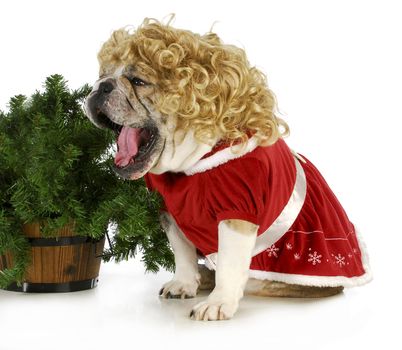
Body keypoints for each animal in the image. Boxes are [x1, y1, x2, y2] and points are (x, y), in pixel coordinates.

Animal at [85, 17, 370, 322]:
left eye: (139, 81)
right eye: (103, 74)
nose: (102, 86)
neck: (191, 163)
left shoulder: (238, 209)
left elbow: (230, 262)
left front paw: (218, 302)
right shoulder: (170, 211)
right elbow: (182, 252)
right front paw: (184, 283)